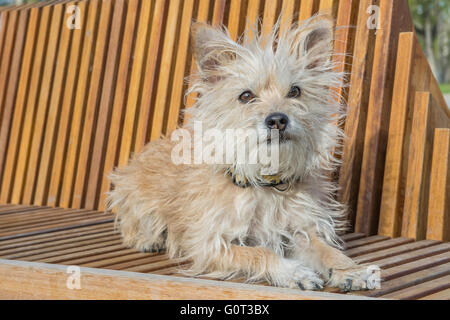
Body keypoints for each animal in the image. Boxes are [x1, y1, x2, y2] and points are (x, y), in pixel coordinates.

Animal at [108, 14, 376, 292]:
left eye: (295, 91)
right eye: (246, 96)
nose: (278, 119)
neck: (265, 184)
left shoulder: (301, 230)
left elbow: (326, 251)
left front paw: (350, 269)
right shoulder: (211, 244)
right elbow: (260, 253)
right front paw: (292, 271)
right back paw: (147, 239)